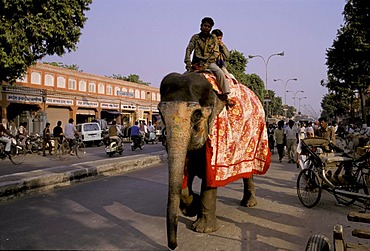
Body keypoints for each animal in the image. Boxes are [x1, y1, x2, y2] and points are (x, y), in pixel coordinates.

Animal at [158, 71, 266, 250]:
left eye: (197, 114)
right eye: (160, 114)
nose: (173, 246)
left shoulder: (215, 131)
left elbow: (210, 177)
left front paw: (203, 229)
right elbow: (186, 174)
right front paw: (191, 208)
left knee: (248, 169)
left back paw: (249, 204)